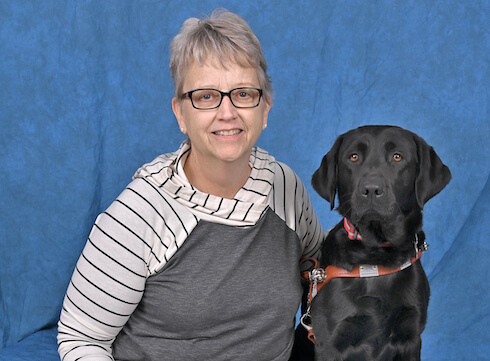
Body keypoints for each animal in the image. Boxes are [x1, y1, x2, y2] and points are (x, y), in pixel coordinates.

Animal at [290, 125, 452, 358]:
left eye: (397, 157)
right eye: (354, 157)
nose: (372, 189)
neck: (376, 256)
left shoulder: (411, 338)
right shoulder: (331, 343)